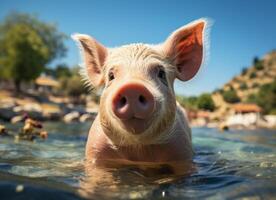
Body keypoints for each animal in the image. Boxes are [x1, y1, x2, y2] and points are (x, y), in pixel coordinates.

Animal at [73, 18, 209, 172]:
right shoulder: (95, 151)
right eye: (111, 76)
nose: (132, 87)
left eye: (161, 73)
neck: (139, 149)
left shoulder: (182, 151)